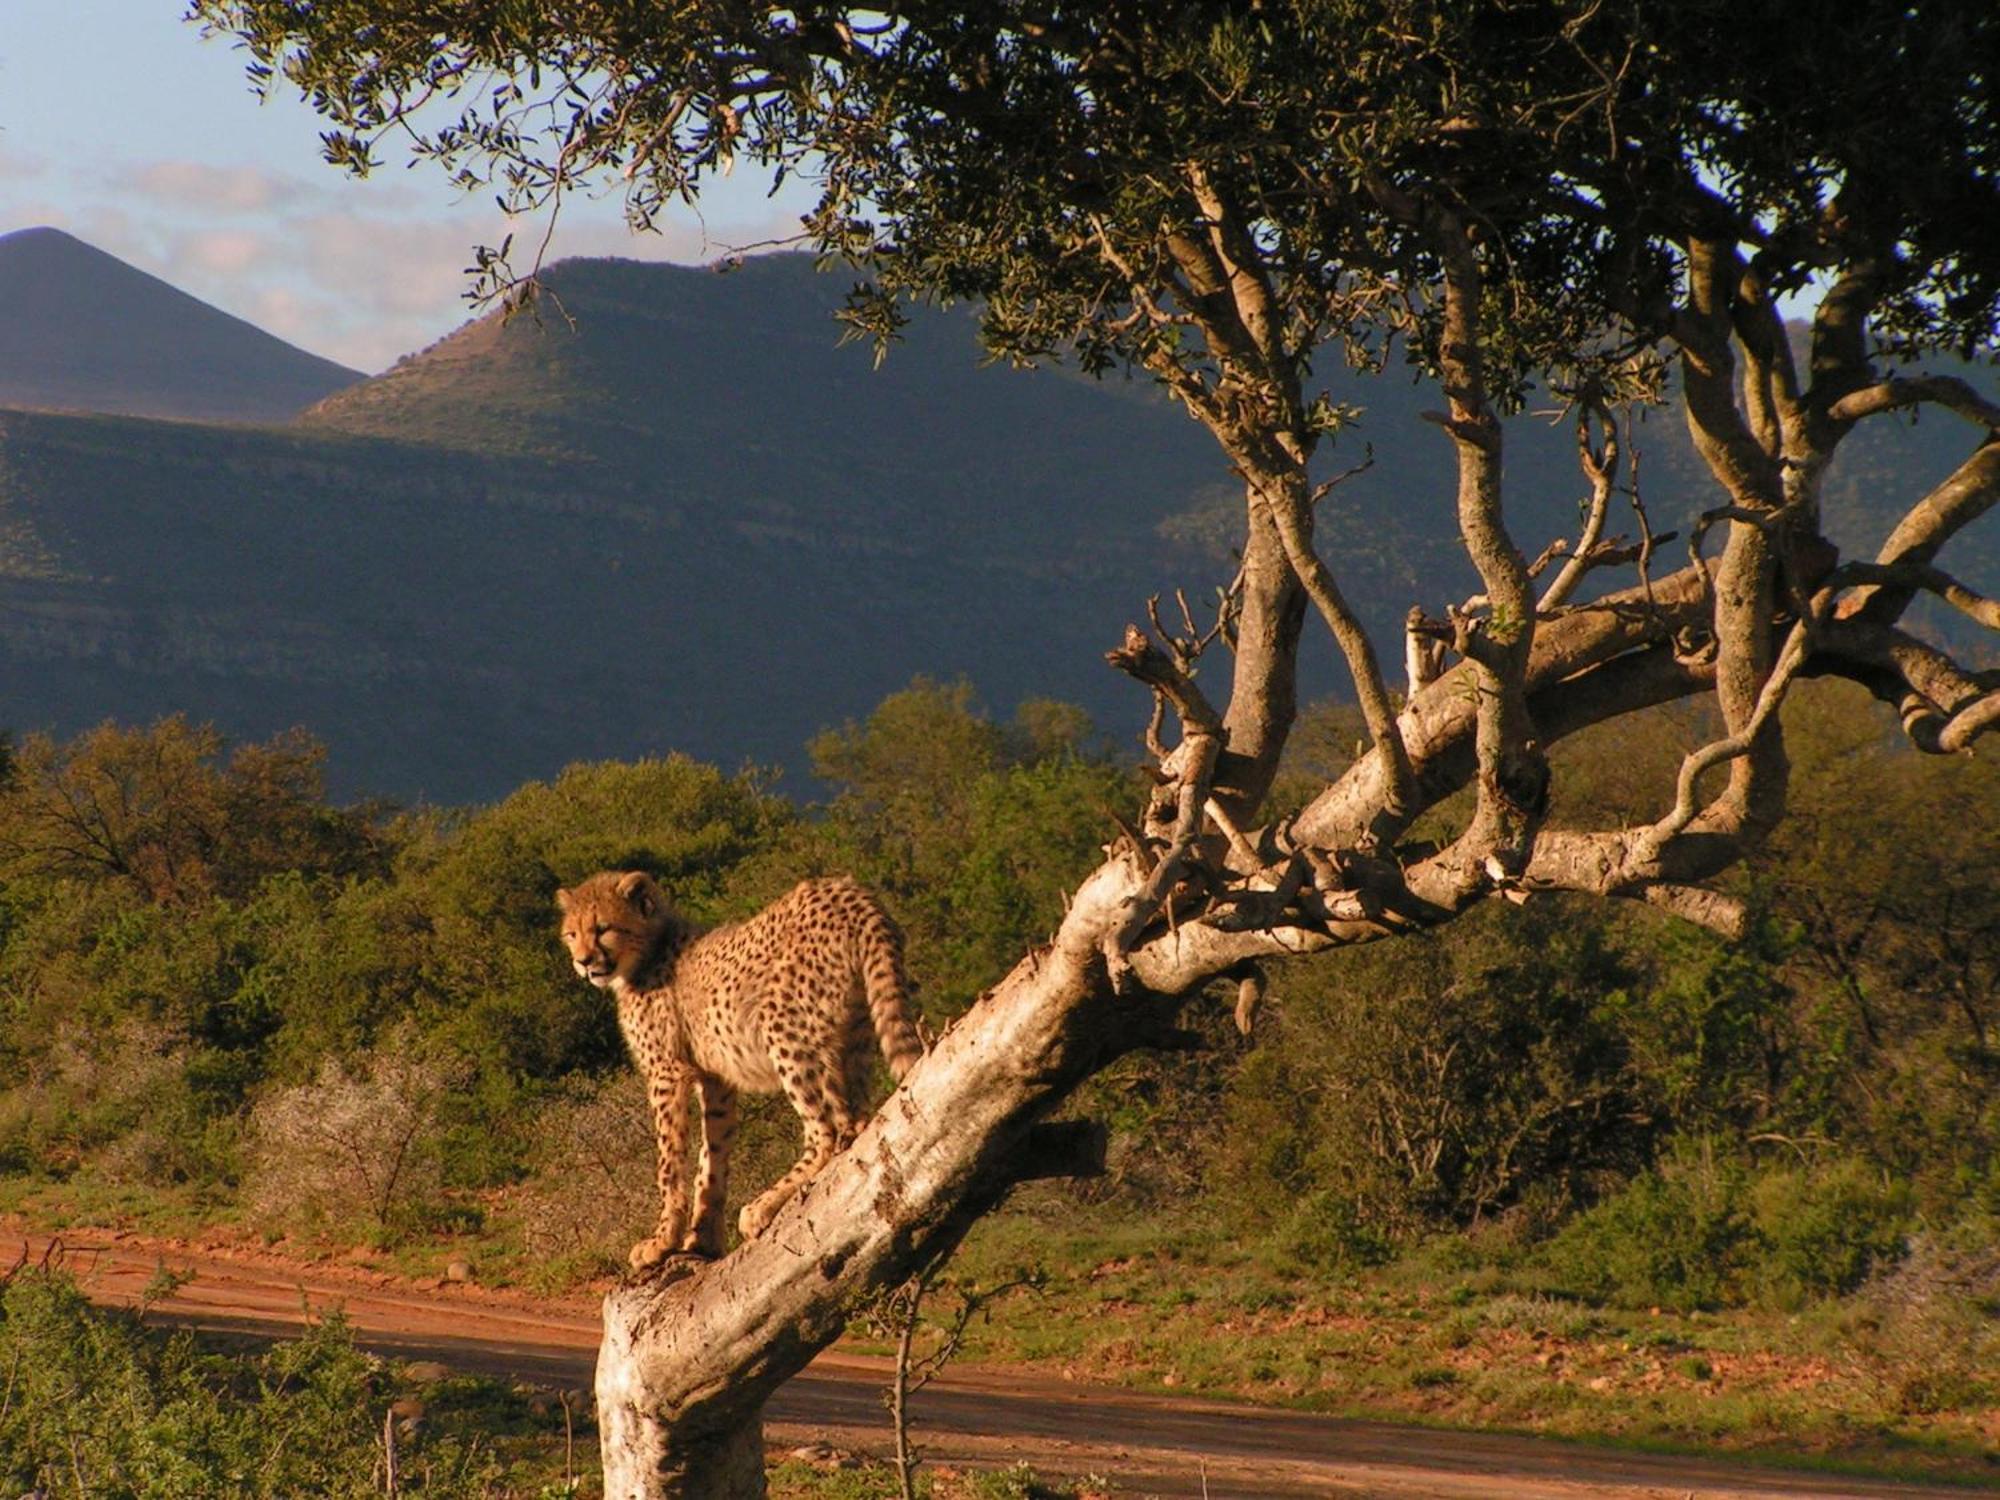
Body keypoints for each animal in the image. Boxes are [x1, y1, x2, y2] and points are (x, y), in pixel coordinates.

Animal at [552, 868, 916, 1272]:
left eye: (603, 928)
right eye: (572, 934)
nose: (583, 962)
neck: (649, 950)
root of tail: (843, 889)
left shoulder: (666, 1072)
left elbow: (668, 1164)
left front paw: (661, 1240)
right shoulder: (715, 1079)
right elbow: (711, 1159)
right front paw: (702, 1240)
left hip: (782, 1026)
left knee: (830, 1130)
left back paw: (763, 1206)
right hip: (852, 1038)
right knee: (855, 1121)